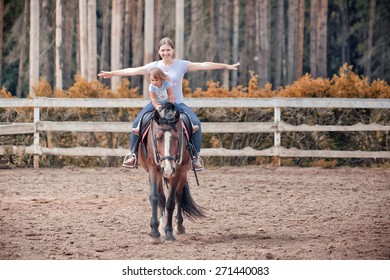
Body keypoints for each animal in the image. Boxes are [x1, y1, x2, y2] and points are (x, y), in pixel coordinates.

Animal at [137, 102, 204, 241]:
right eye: (157, 138)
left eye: (177, 138)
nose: (167, 168)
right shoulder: (153, 170)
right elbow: (155, 198)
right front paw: (155, 232)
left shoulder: (177, 172)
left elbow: (171, 202)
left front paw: (169, 232)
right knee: (161, 197)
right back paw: (161, 227)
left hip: (183, 173)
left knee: (179, 196)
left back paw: (178, 226)